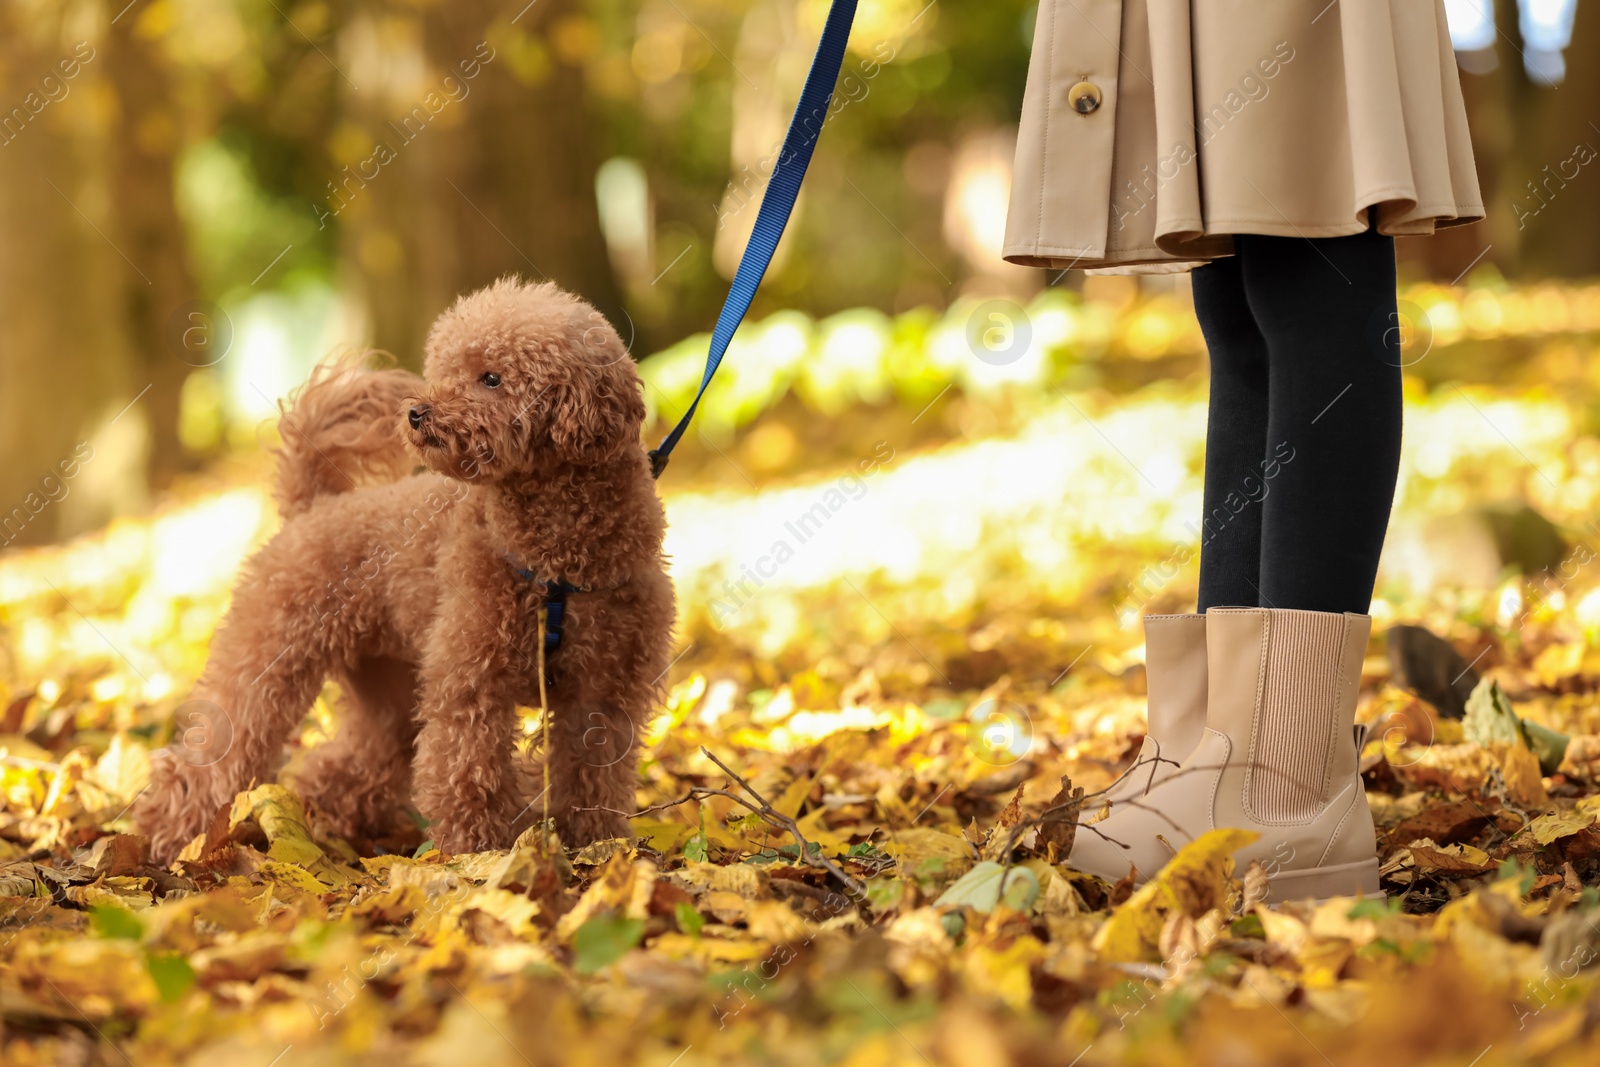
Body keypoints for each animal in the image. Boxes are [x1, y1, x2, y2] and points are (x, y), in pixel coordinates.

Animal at [129, 279, 668, 863]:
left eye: (492, 378)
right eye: (445, 370)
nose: (417, 412)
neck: (557, 563)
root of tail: (314, 507)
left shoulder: (605, 693)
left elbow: (594, 775)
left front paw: (597, 847)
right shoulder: (471, 682)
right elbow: (467, 772)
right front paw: (476, 856)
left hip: (386, 686)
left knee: (351, 763)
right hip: (266, 660)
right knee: (216, 754)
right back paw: (173, 838)